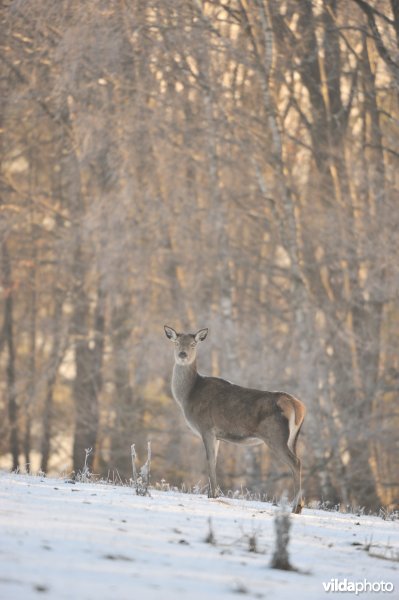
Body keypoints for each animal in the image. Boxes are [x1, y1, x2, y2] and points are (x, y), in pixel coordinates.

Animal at [164, 326, 308, 512]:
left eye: (193, 344)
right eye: (176, 342)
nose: (182, 354)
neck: (188, 396)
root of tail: (298, 407)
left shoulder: (206, 427)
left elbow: (209, 460)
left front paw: (213, 495)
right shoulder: (217, 435)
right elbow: (215, 460)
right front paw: (212, 494)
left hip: (275, 436)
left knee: (295, 462)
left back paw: (296, 507)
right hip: (292, 439)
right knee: (298, 461)